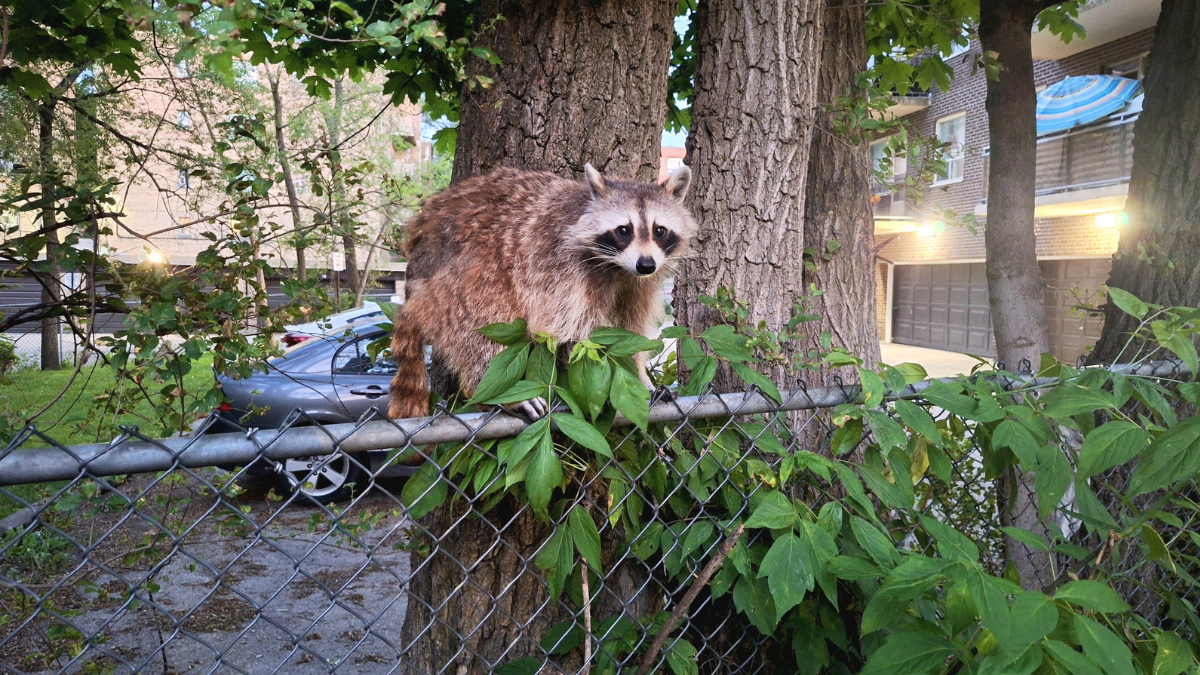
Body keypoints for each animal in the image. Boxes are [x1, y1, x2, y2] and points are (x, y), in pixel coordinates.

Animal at [388, 163, 695, 421]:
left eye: (659, 230)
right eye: (623, 230)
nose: (646, 264)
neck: (617, 267)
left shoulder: (640, 284)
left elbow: (631, 329)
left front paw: (640, 375)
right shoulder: (556, 267)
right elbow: (575, 330)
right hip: (464, 271)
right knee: (481, 320)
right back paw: (491, 388)